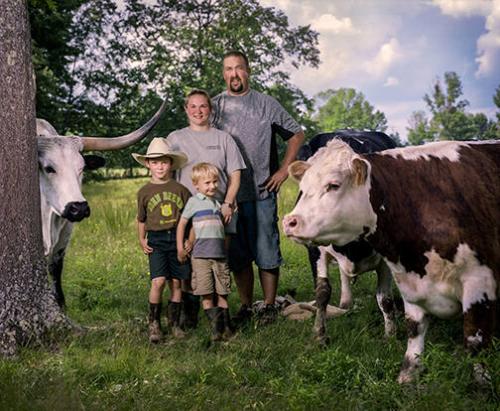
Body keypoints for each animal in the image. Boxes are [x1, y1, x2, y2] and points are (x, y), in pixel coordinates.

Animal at [37, 101, 166, 308]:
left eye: (81, 168)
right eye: (49, 168)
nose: (79, 208)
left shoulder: (65, 231)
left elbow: (56, 267)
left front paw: (60, 304)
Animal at [284, 138, 498, 384]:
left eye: (334, 185)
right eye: (302, 189)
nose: (289, 222)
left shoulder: (479, 283)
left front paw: (389, 336)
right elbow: (322, 294)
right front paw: (319, 335)